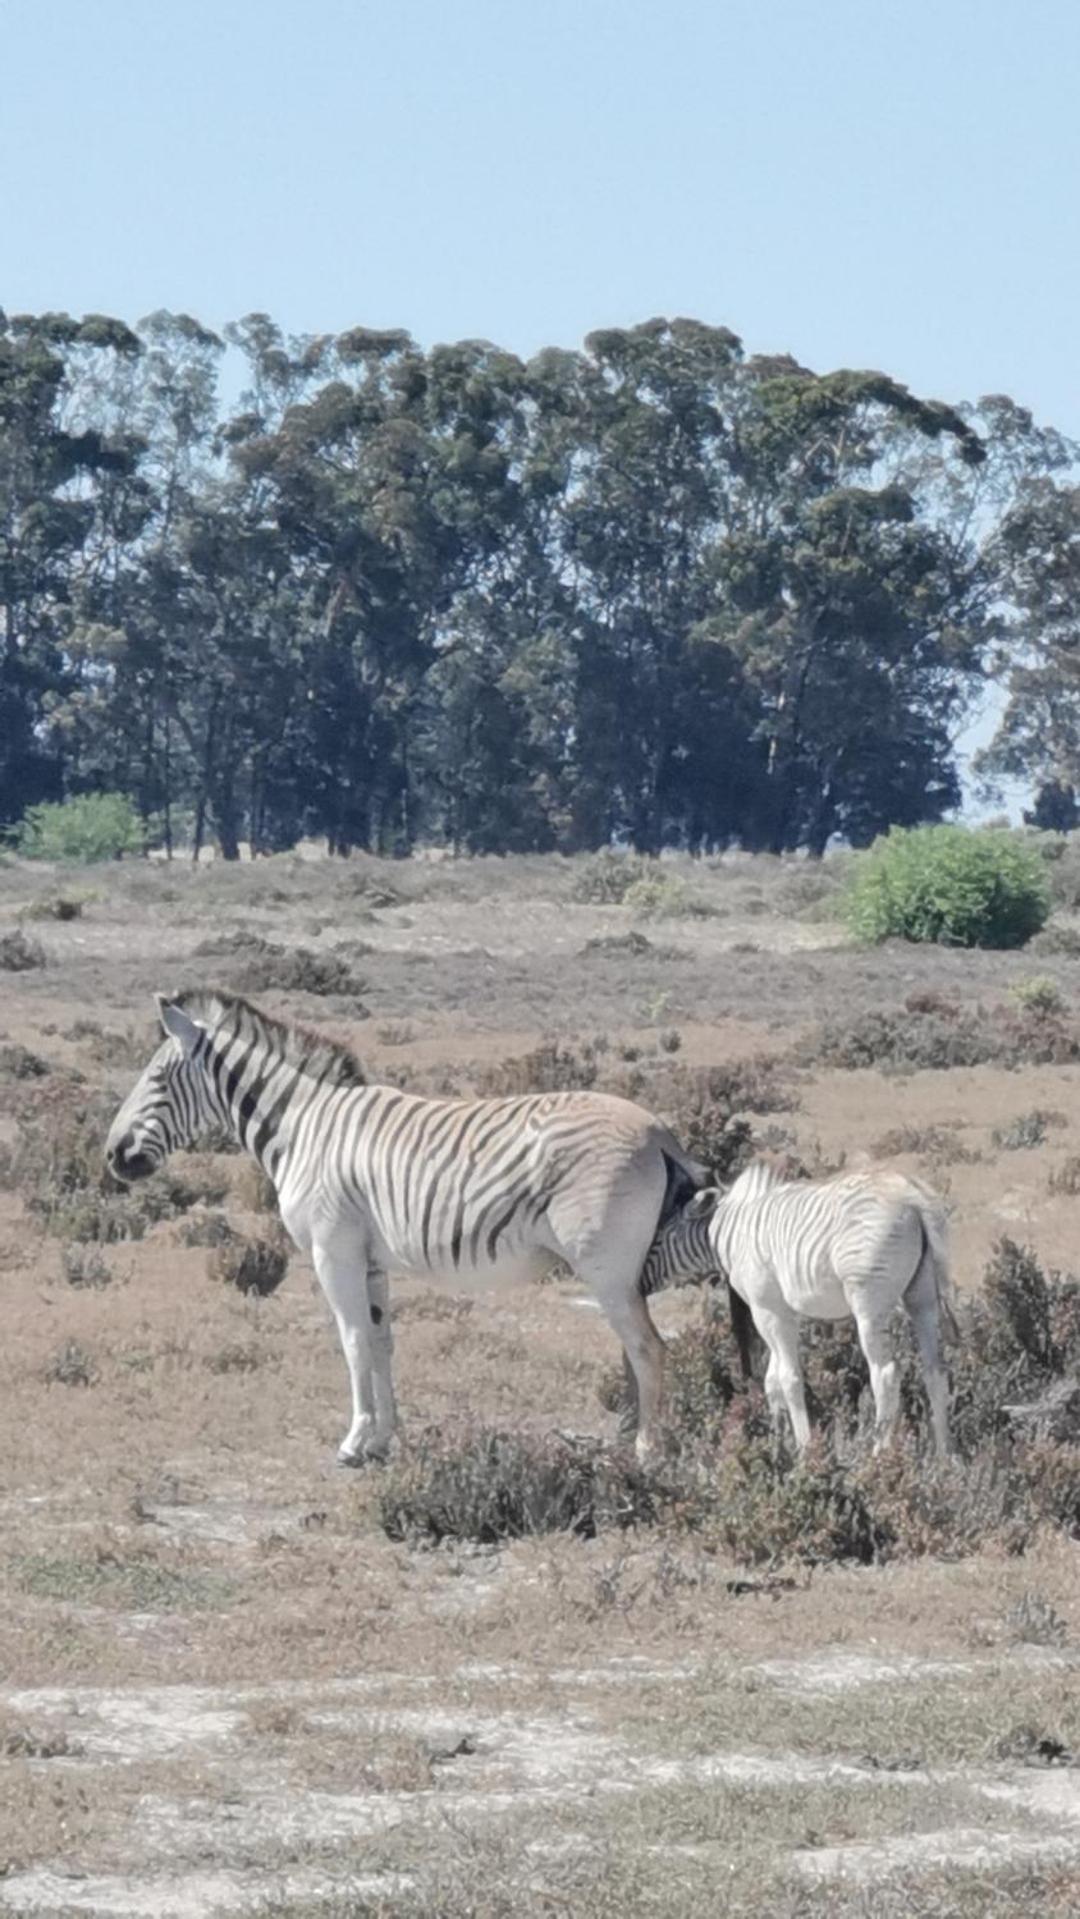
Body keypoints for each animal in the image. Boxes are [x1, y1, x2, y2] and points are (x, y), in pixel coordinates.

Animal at [103, 997, 709, 1458]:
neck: (304, 1129)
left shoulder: (333, 1251)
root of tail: (659, 1131)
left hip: (605, 1266)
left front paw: (353, 1443)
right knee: (633, 1350)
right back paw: (625, 1437)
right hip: (626, 1271)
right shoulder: (370, 1260)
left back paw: (646, 1451)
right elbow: (380, 1341)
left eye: (156, 1078)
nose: (112, 1157)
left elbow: (351, 1341)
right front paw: (383, 1438)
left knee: (648, 1348)